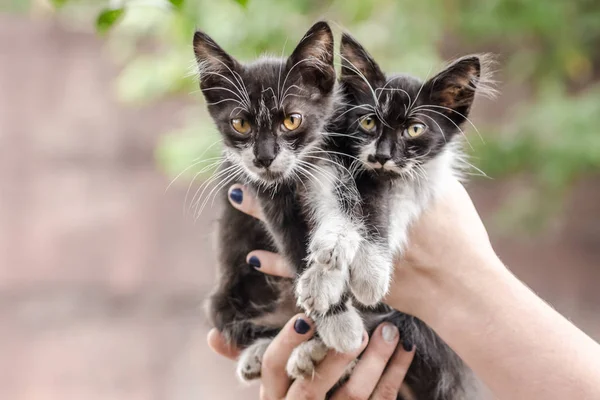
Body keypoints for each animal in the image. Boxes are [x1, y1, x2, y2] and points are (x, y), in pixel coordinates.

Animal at [192, 22, 370, 384]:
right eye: (240, 123)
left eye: (291, 120)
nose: (264, 157)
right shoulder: (262, 193)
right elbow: (294, 244)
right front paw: (338, 320)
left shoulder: (334, 160)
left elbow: (347, 207)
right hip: (224, 299)